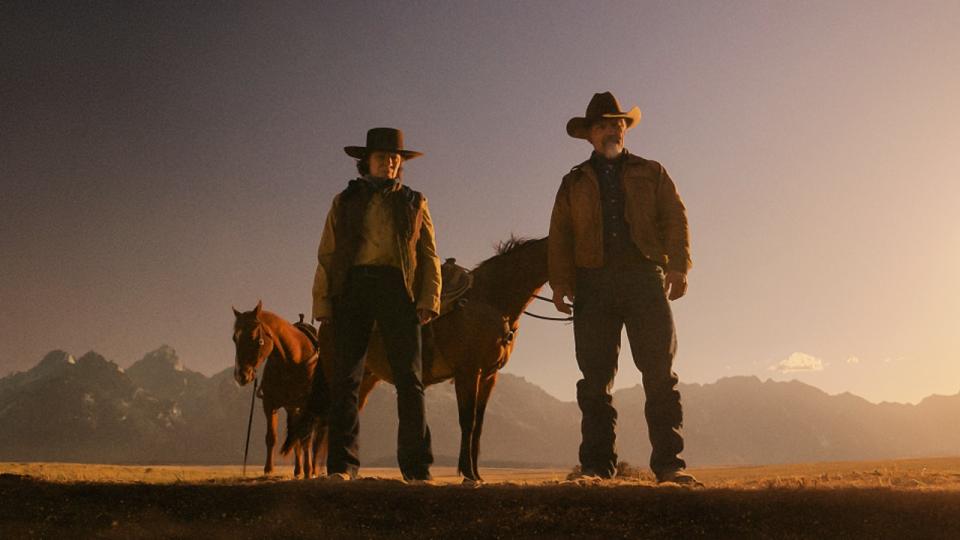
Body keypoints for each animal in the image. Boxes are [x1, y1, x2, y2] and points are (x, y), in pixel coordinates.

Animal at [233, 302, 324, 478]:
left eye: (255, 338)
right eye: (235, 338)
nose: (241, 375)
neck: (292, 361)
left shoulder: (307, 406)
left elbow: (306, 438)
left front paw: (309, 471)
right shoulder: (270, 404)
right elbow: (271, 437)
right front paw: (268, 469)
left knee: (316, 439)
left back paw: (314, 469)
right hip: (292, 409)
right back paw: (298, 470)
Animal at [284, 235, 548, 480]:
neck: (490, 301)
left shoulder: (488, 376)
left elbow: (479, 426)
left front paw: (476, 474)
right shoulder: (468, 372)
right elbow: (467, 421)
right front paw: (467, 474)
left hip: (366, 378)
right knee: (327, 421)